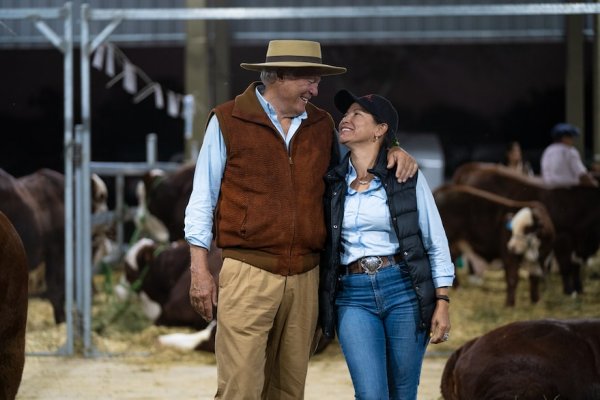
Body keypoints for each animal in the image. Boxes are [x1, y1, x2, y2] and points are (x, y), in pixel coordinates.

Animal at [452, 162, 600, 296]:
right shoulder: (563, 238)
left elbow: (575, 265)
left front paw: (579, 288)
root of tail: (474, 166)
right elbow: (566, 265)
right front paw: (570, 291)